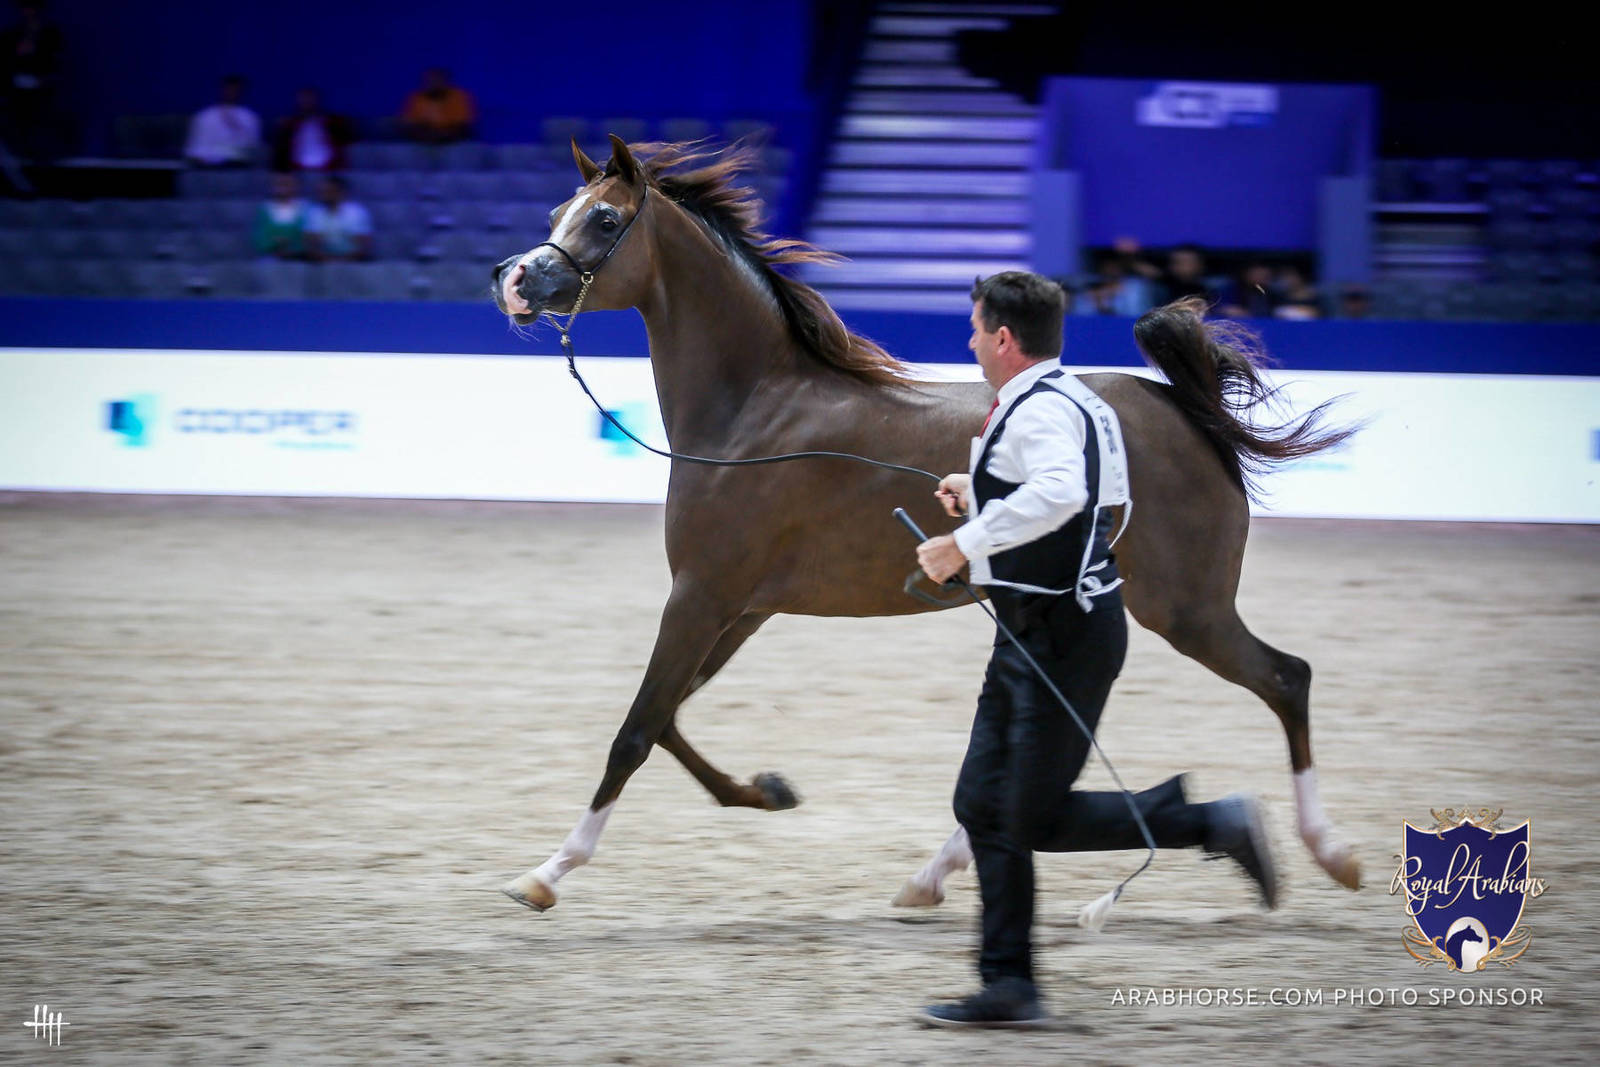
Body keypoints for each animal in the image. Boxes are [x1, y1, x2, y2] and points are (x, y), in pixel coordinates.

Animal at [489, 136, 1363, 913]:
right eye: (558, 211)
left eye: (605, 219)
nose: (513, 278)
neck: (753, 416)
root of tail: (1186, 411)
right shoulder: (740, 607)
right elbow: (669, 718)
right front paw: (768, 790)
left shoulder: (703, 595)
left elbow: (637, 729)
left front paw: (549, 871)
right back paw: (934, 873)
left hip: (1187, 609)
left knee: (1287, 678)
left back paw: (1331, 852)